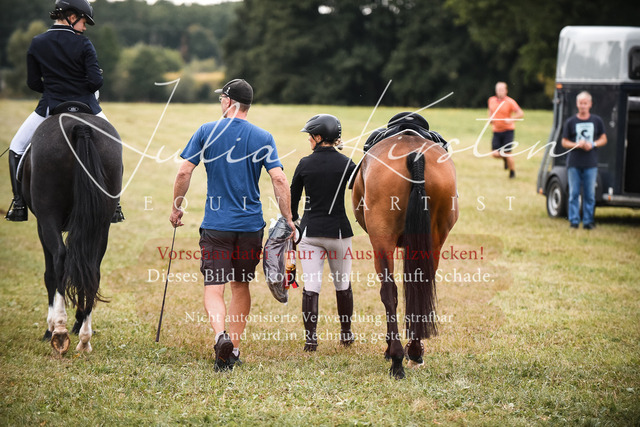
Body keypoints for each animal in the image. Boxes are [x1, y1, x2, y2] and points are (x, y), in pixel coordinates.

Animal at [21, 107, 122, 355]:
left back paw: (58, 329)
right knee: (93, 269)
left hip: (49, 215)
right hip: (101, 225)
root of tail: (81, 125)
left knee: (59, 260)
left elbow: (50, 274)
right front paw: (77, 324)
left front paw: (50, 328)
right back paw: (84, 338)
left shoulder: (42, 223)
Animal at [351, 134, 458, 379]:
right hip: (434, 240)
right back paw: (414, 351)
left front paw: (390, 349)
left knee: (389, 292)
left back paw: (397, 358)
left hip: (382, 240)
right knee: (420, 289)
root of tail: (415, 154)